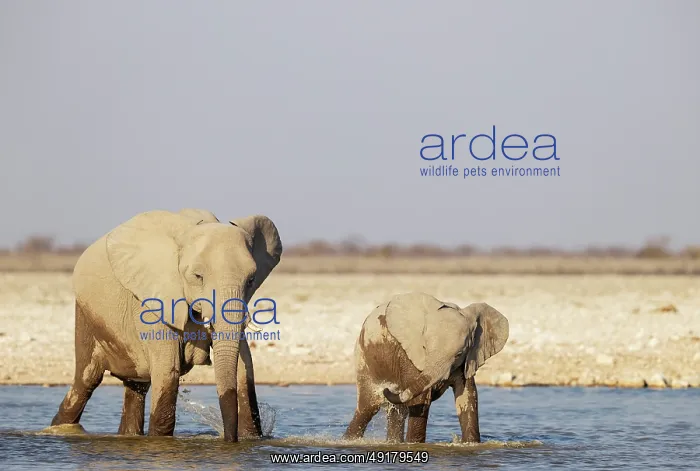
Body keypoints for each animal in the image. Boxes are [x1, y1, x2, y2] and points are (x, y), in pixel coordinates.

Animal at [50, 208, 283, 442]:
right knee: (86, 381)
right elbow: (168, 371)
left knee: (136, 387)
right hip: (86, 315)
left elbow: (245, 369)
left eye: (251, 280)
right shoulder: (152, 300)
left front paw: (250, 439)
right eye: (197, 276)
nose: (229, 439)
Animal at [343, 292, 509, 443]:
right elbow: (421, 400)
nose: (387, 388)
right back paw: (348, 440)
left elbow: (467, 395)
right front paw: (414, 445)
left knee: (398, 412)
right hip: (364, 360)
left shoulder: (466, 361)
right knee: (367, 408)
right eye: (424, 348)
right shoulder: (409, 355)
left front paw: (470, 444)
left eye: (459, 354)